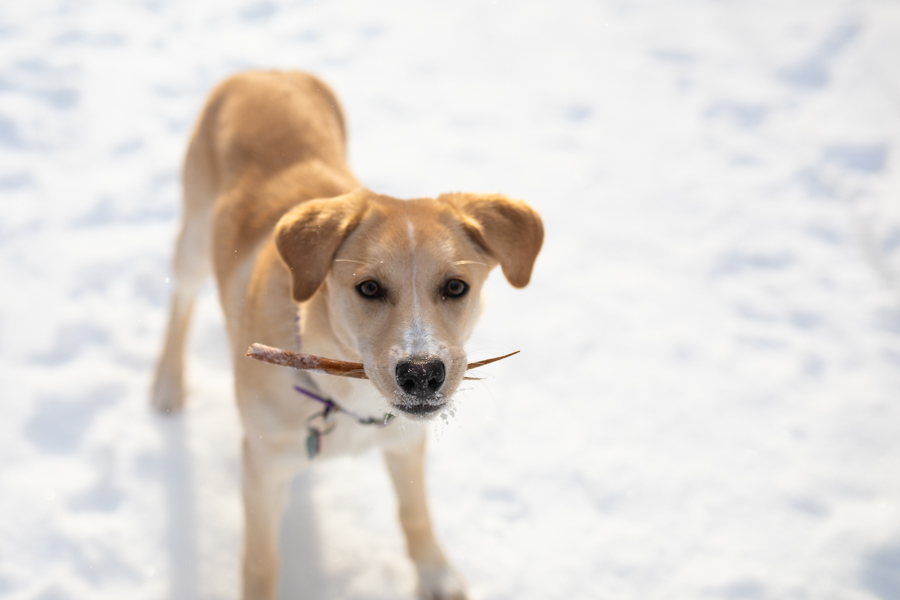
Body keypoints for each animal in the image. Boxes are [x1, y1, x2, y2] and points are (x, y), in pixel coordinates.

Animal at [151, 72, 540, 600]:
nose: (423, 375)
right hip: (193, 239)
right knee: (181, 301)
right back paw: (167, 382)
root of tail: (266, 71)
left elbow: (415, 513)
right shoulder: (261, 466)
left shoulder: (405, 442)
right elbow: (261, 560)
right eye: (369, 288)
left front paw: (434, 574)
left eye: (456, 287)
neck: (349, 397)